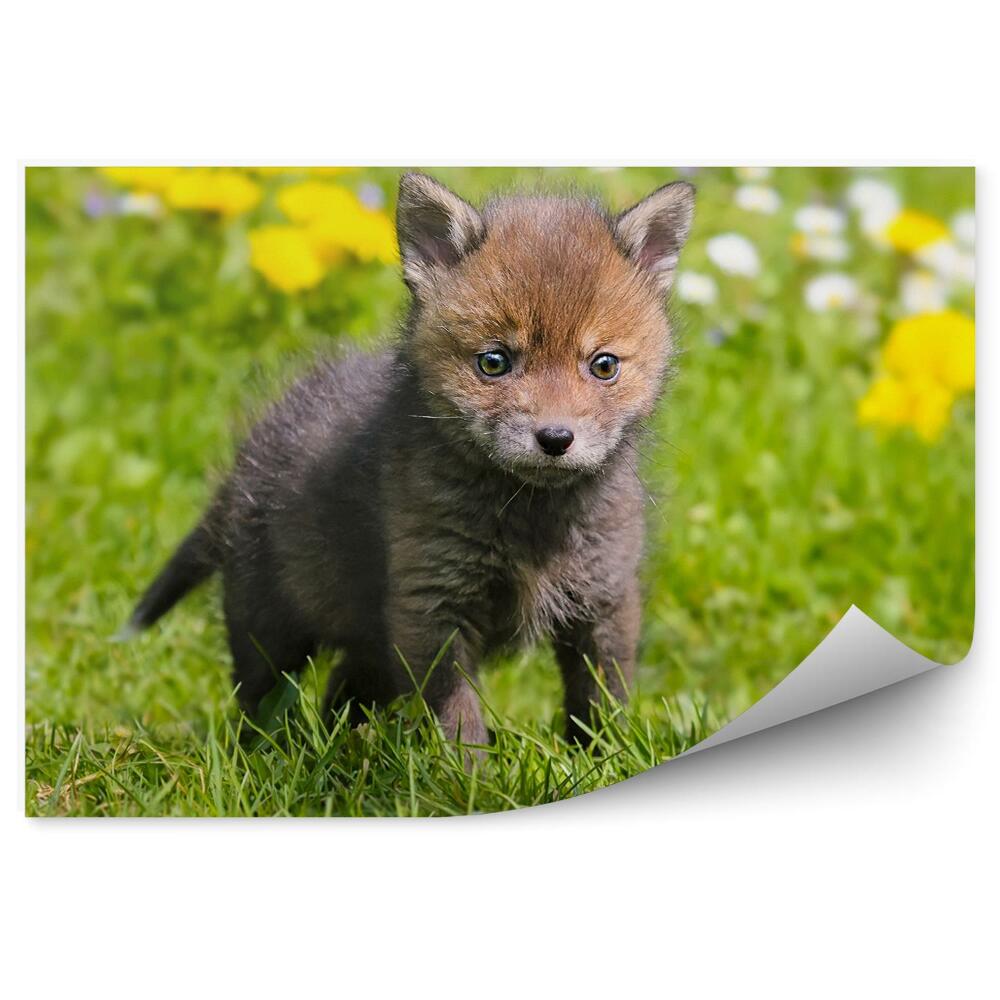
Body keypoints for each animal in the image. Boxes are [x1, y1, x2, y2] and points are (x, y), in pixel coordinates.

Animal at [123, 172, 695, 747]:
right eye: (494, 362)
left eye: (603, 365)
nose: (555, 438)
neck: (530, 519)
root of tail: (247, 457)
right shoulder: (430, 603)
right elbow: (457, 715)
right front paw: (470, 771)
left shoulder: (605, 599)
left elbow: (600, 701)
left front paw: (601, 757)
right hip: (270, 625)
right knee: (259, 700)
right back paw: (269, 753)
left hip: (369, 642)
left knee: (341, 690)